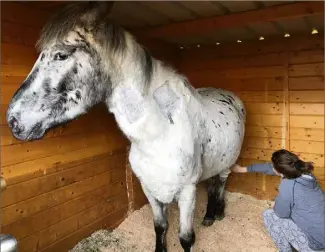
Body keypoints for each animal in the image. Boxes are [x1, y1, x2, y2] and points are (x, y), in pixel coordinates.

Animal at [5, 2, 244, 252]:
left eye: (61, 55)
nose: (13, 120)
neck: (159, 135)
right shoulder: (149, 188)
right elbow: (160, 227)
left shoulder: (187, 191)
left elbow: (186, 238)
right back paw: (210, 216)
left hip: (226, 166)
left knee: (220, 184)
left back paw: (216, 214)